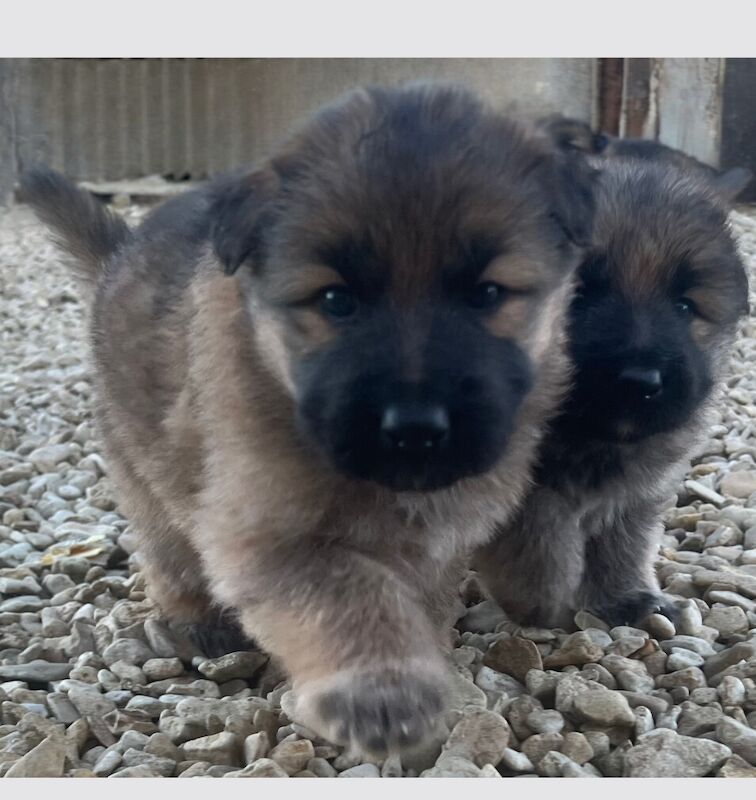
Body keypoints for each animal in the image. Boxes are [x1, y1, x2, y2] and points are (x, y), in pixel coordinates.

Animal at [19, 84, 596, 752]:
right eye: (335, 300)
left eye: (488, 294)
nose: (415, 428)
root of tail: (121, 252)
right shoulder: (267, 534)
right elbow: (350, 593)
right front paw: (383, 689)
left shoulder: (439, 538)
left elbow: (416, 598)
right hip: (146, 473)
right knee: (169, 556)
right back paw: (199, 622)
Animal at [476, 158, 748, 632]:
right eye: (578, 293)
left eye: (684, 306)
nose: (640, 380)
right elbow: (540, 531)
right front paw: (539, 600)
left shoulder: (635, 494)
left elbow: (621, 545)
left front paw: (627, 598)